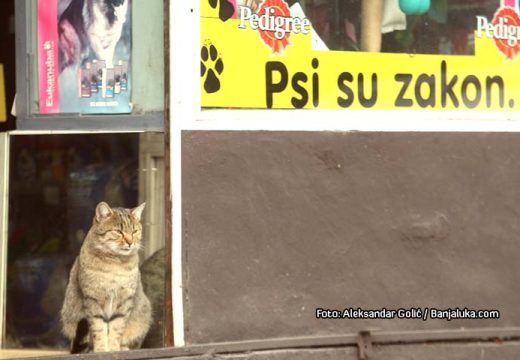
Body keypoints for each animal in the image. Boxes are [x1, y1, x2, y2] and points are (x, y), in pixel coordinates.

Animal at [61, 201, 151, 352]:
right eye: (119, 231)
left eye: (134, 231)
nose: (130, 242)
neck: (115, 263)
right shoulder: (93, 300)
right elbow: (99, 329)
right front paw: (101, 350)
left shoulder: (124, 302)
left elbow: (116, 329)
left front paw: (114, 349)